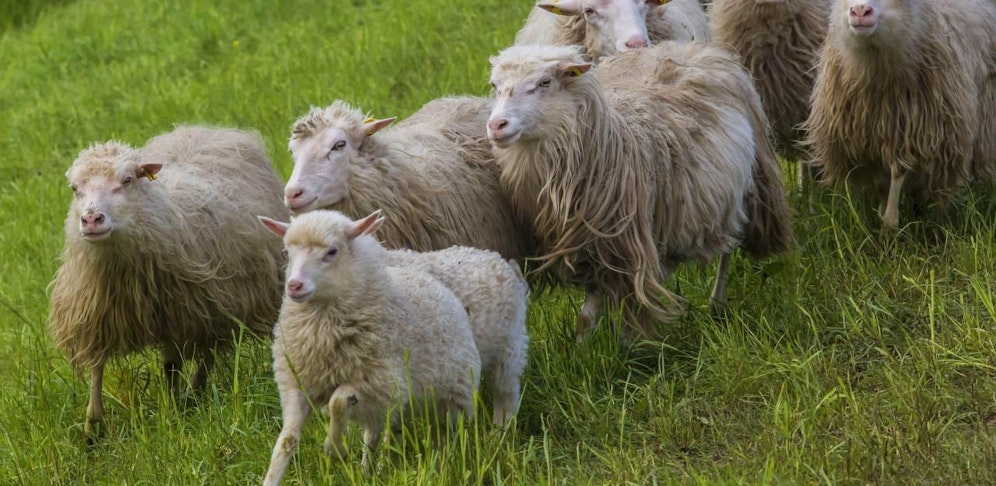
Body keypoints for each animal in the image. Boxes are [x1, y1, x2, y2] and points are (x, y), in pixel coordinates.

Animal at [47, 126, 288, 442]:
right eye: (75, 188)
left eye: (127, 180)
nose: (91, 219)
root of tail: (209, 128)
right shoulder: (96, 311)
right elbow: (97, 369)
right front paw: (93, 427)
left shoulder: (180, 314)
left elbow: (172, 365)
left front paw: (173, 410)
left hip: (217, 302)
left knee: (208, 350)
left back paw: (195, 392)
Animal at [258, 210, 480, 484]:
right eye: (287, 252)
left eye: (332, 251)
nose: (294, 286)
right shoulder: (297, 383)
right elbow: (287, 441)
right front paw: (271, 478)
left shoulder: (375, 382)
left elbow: (337, 402)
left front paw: (335, 449)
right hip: (389, 404)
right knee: (373, 435)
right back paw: (368, 470)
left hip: (450, 400)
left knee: (443, 436)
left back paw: (441, 464)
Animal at [486, 43, 793, 340]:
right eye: (495, 85)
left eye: (544, 82)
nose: (496, 125)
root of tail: (694, 48)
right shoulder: (594, 244)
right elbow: (586, 318)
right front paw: (583, 350)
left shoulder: (622, 245)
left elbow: (627, 308)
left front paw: (632, 349)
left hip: (750, 190)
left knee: (729, 248)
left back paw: (717, 303)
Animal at [804, 0, 996, 229]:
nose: (860, 11)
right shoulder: (870, 141)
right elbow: (881, 186)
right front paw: (880, 219)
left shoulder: (912, 134)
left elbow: (898, 176)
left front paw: (889, 226)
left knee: (942, 191)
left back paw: (940, 225)